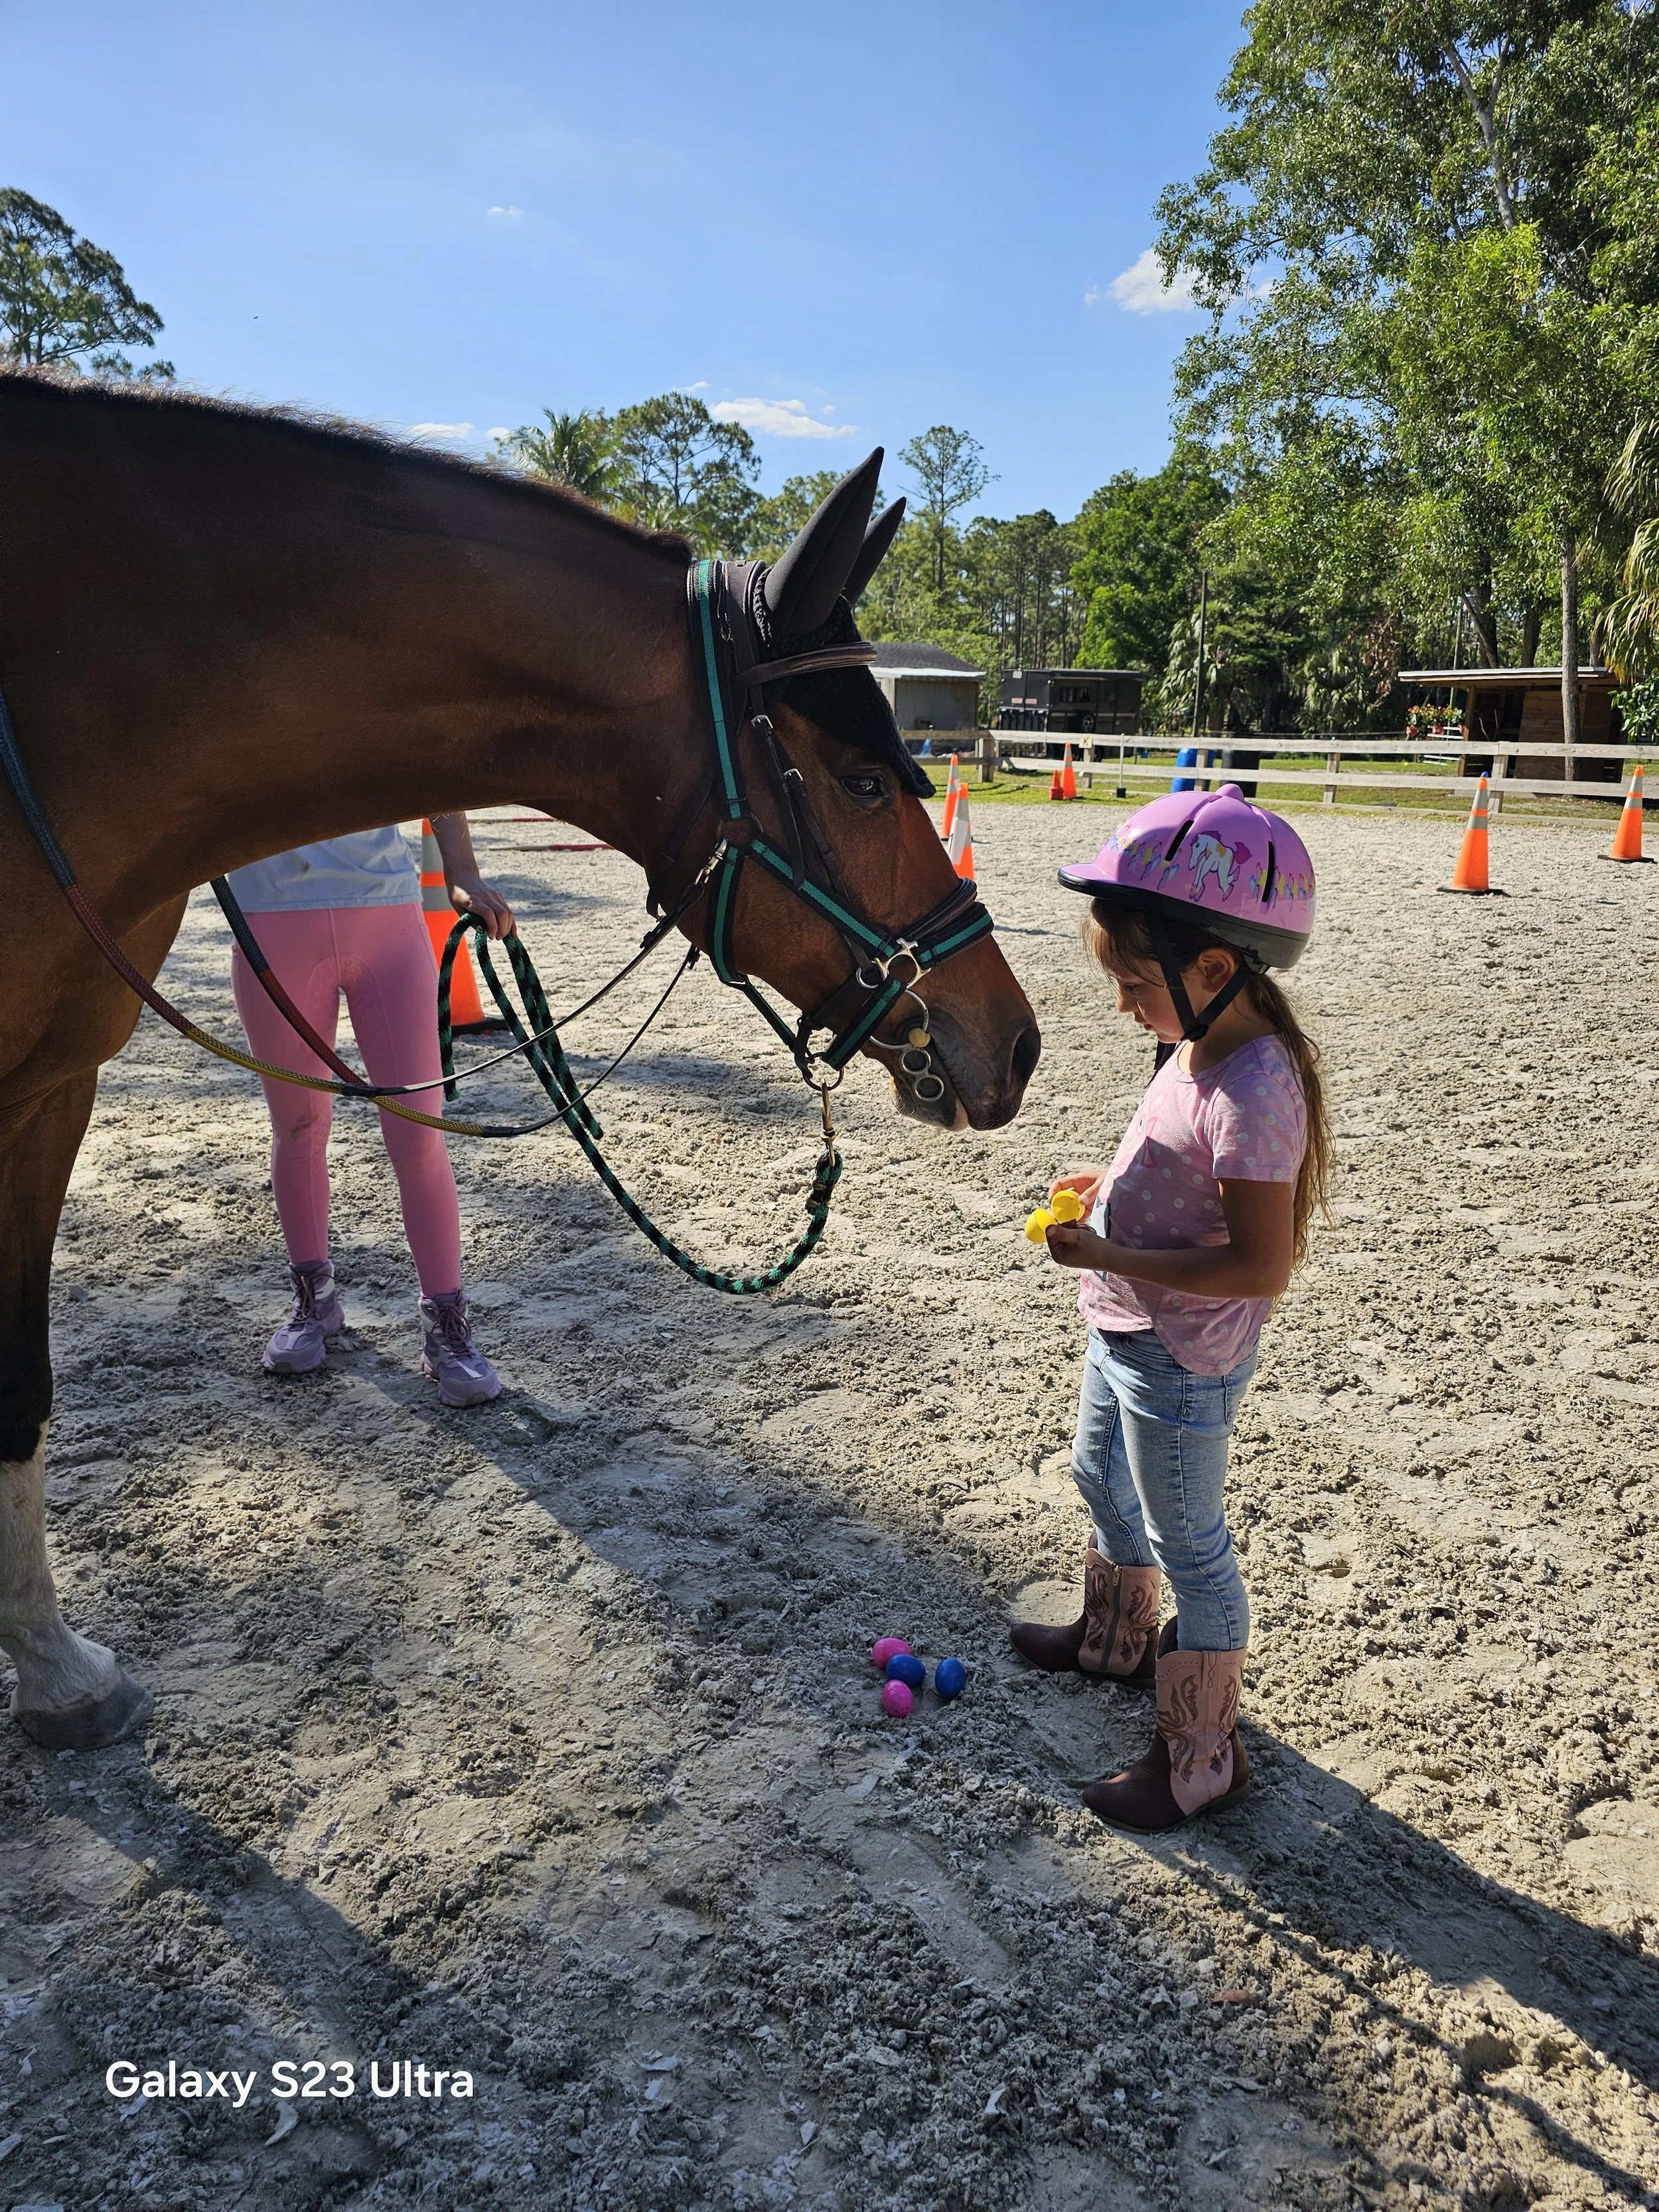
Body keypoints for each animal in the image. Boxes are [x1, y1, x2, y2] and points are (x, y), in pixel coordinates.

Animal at [0, 369, 1040, 1753]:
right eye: (867, 780)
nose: (1013, 1041)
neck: (62, 687)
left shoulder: (48, 1089)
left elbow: (20, 1381)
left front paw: (57, 1669)